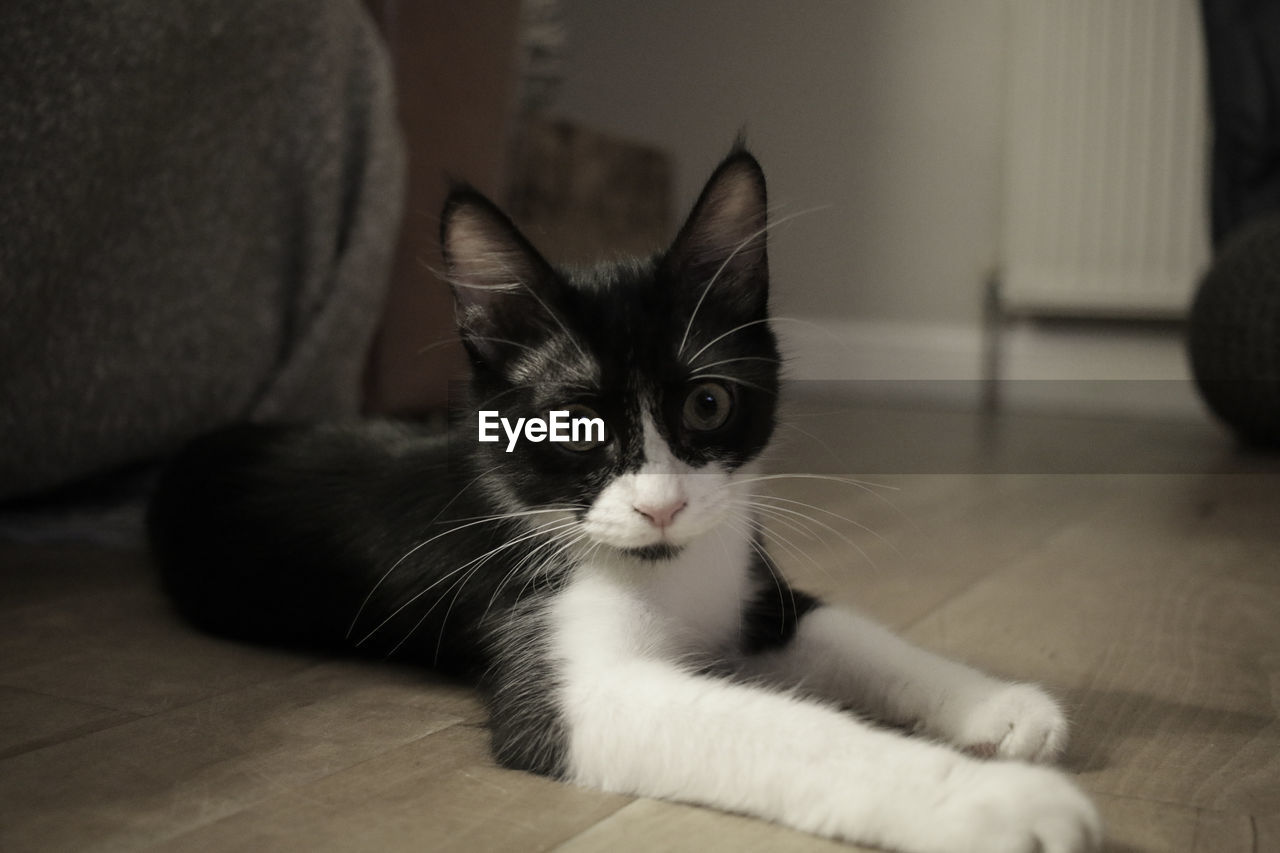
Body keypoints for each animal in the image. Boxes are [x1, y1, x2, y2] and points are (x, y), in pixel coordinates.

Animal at [149, 147, 1100, 850]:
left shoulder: (748, 577)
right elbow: (783, 729)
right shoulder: (558, 661)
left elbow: (852, 630)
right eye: (569, 427)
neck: (668, 566)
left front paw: (1003, 706)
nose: (661, 507)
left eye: (708, 404)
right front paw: (998, 803)